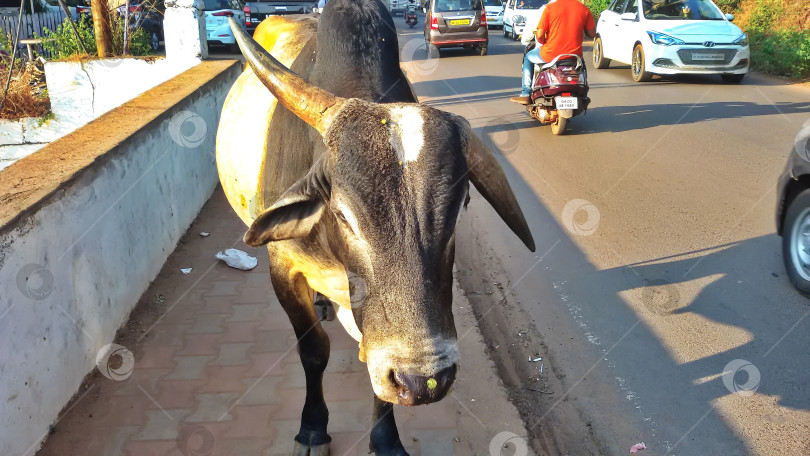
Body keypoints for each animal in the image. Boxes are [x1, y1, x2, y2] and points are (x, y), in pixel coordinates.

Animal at [213, 1, 532, 454]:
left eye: (459, 208)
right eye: (343, 214)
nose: (424, 380)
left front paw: (385, 439)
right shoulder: (282, 268)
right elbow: (313, 350)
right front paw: (313, 428)